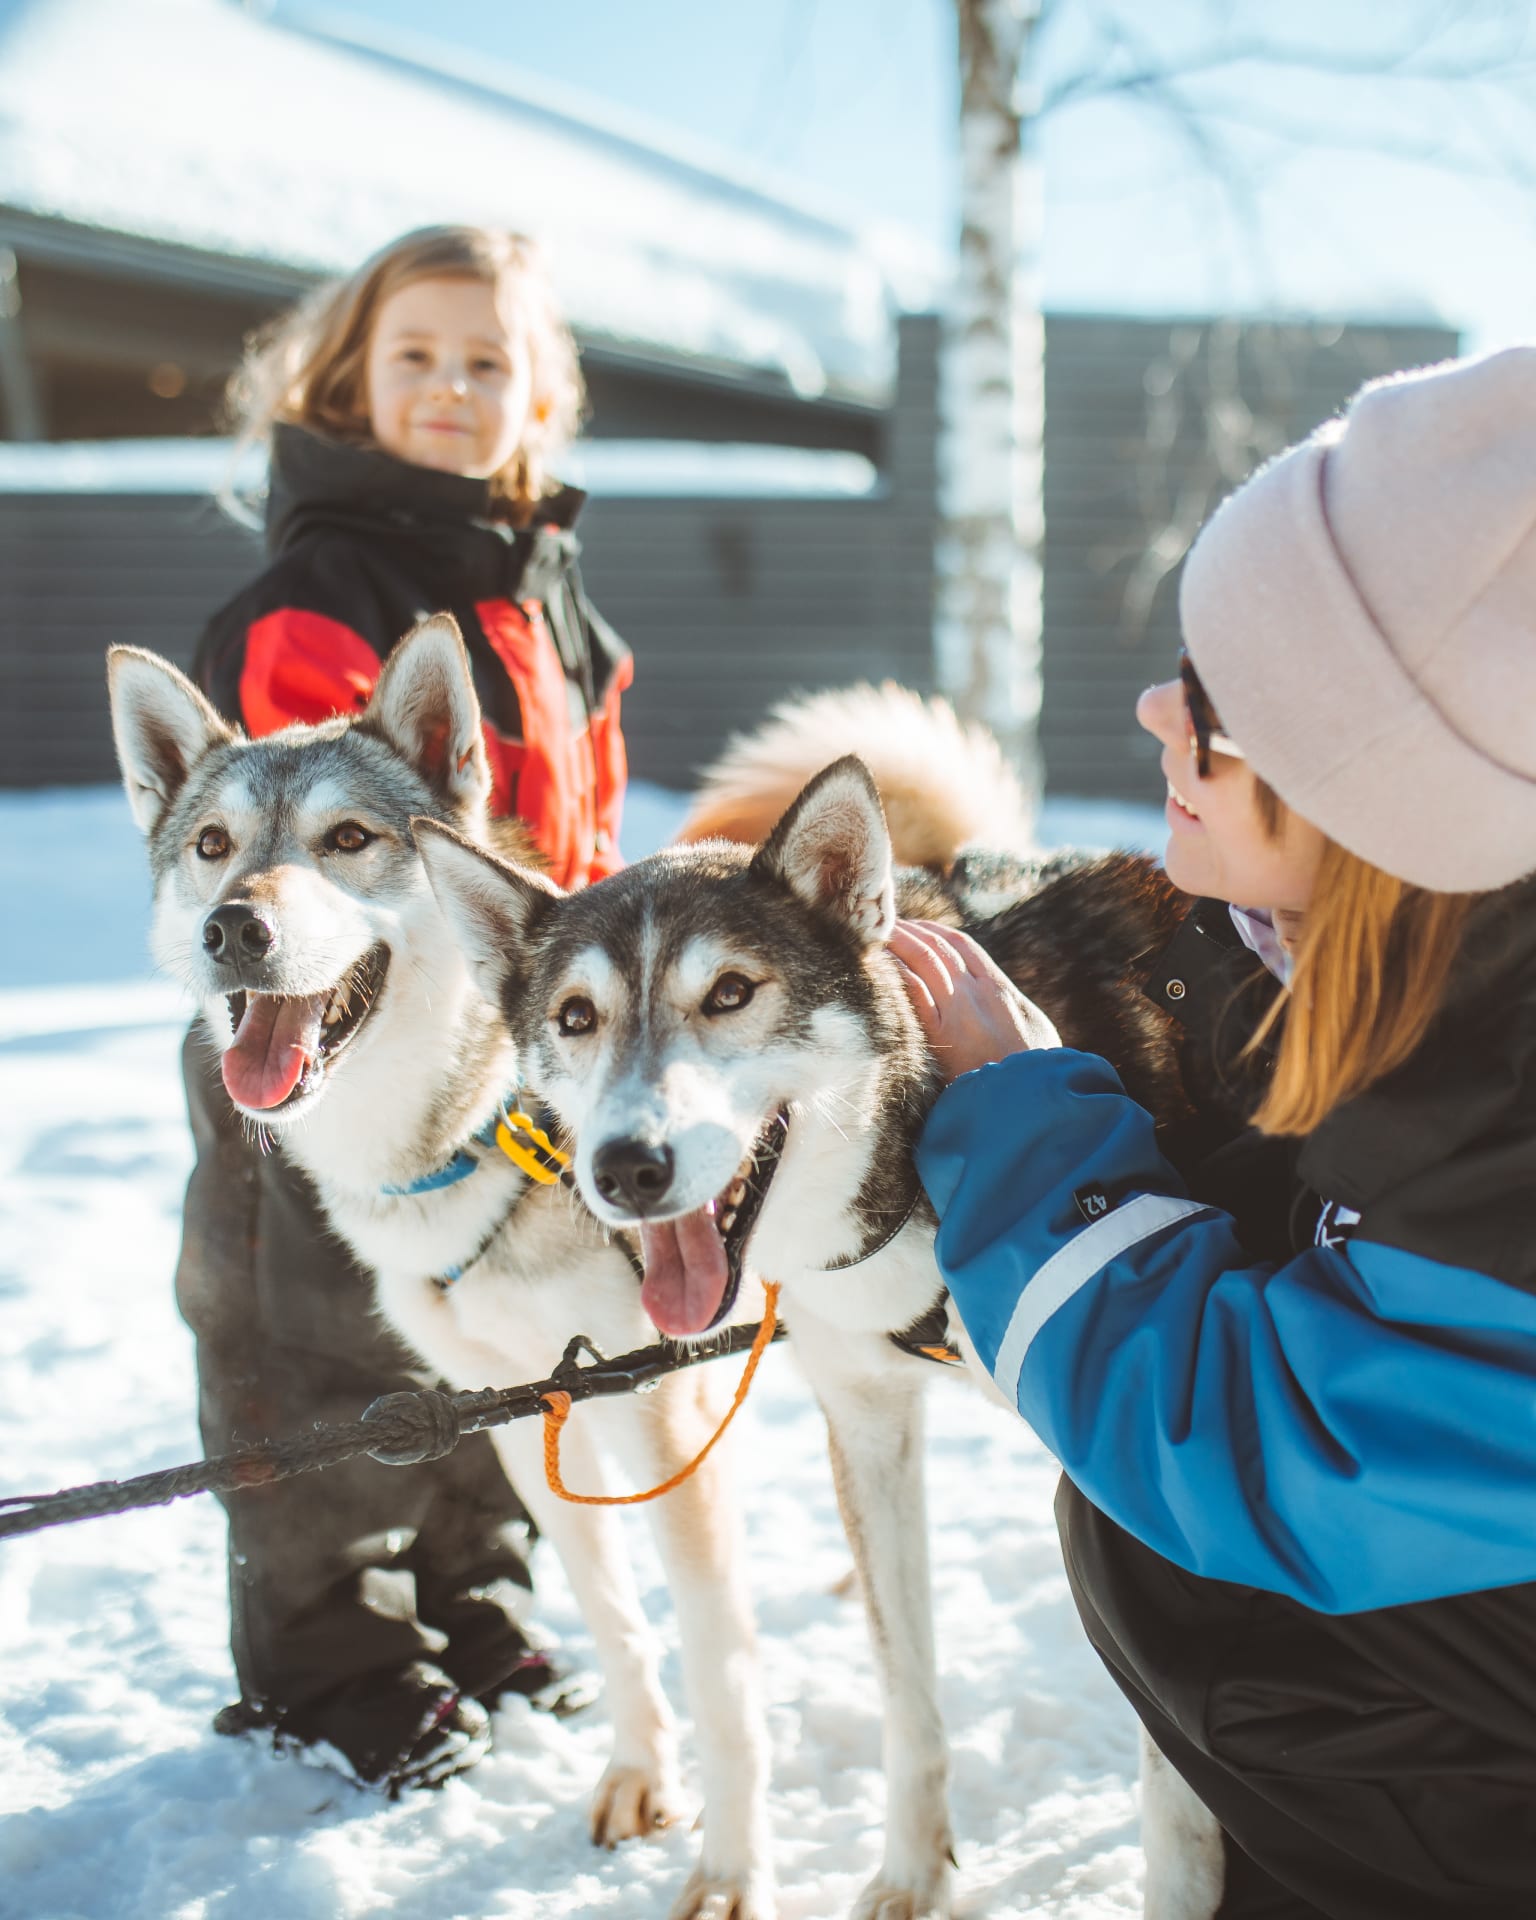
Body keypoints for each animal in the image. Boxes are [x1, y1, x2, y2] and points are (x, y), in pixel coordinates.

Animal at [410, 737, 1221, 1920]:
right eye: (574, 1017)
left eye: (731, 992)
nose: (625, 1168)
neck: (928, 1144)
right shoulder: (868, 1422)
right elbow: (906, 1690)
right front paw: (911, 1874)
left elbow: (1176, 1799)